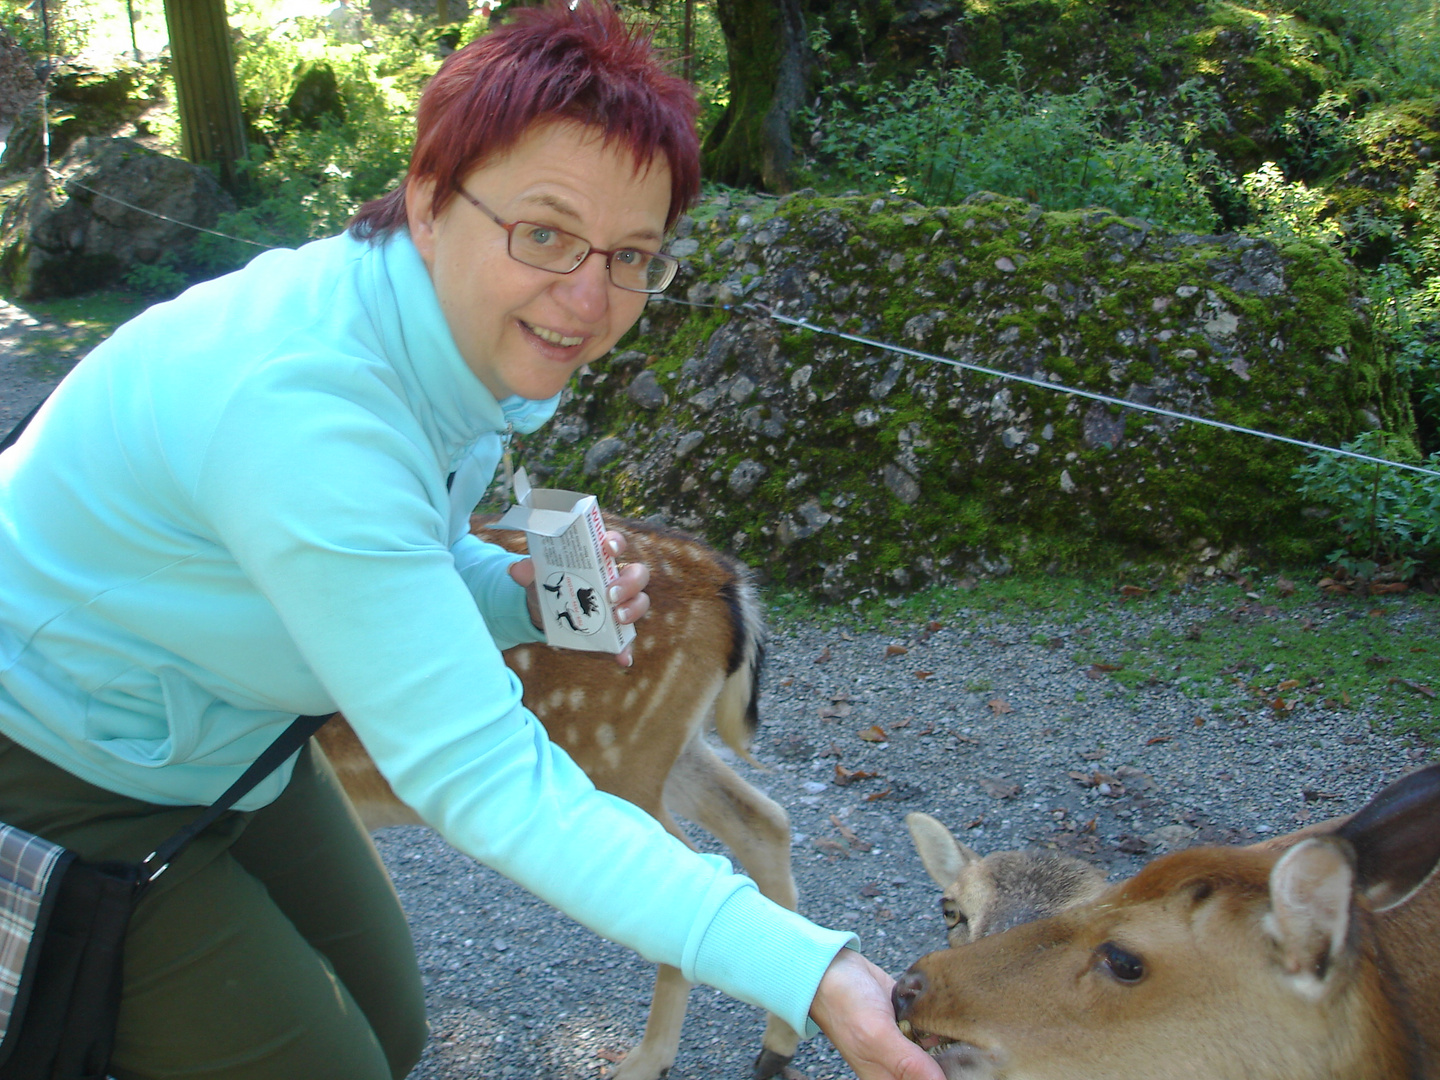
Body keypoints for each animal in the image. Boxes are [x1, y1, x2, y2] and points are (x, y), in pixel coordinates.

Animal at [313, 515, 800, 1080]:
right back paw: (776, 1046)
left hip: (615, 756)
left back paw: (643, 1063)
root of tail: (728, 582)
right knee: (765, 821)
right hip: (670, 747)